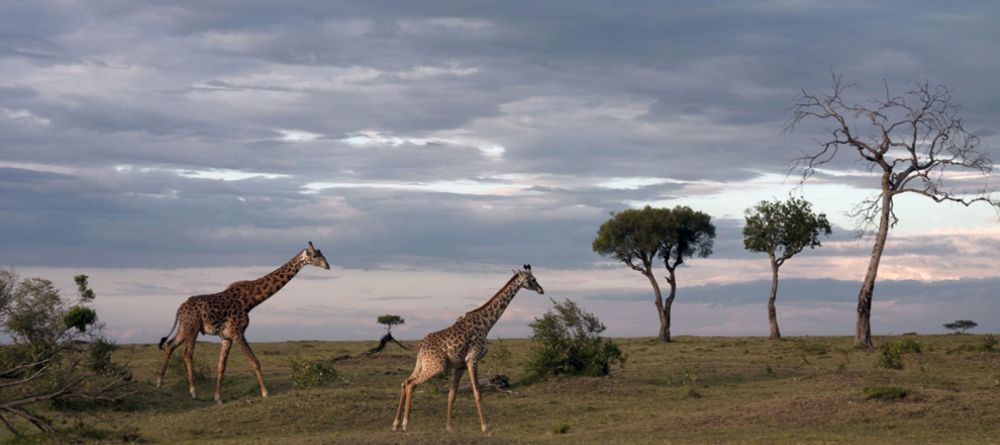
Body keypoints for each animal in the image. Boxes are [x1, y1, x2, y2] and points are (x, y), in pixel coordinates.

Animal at [154, 241, 330, 400]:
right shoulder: (238, 332)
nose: (327, 265)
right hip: (193, 328)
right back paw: (192, 391)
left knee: (169, 345)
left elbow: (221, 366)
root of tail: (179, 309)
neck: (249, 301)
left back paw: (159, 383)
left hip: (184, 328)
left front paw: (218, 397)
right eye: (316, 255)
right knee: (187, 354)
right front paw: (265, 393)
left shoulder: (226, 336)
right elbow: (255, 362)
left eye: (322, 254)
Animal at [392, 264, 548, 430]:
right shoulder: (472, 359)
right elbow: (477, 393)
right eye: (533, 279)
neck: (487, 324)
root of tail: (420, 345)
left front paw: (449, 427)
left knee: (405, 382)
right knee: (411, 384)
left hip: (422, 364)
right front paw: (485, 426)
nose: (541, 290)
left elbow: (452, 394)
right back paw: (405, 424)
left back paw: (395, 424)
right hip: (437, 366)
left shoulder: (460, 365)